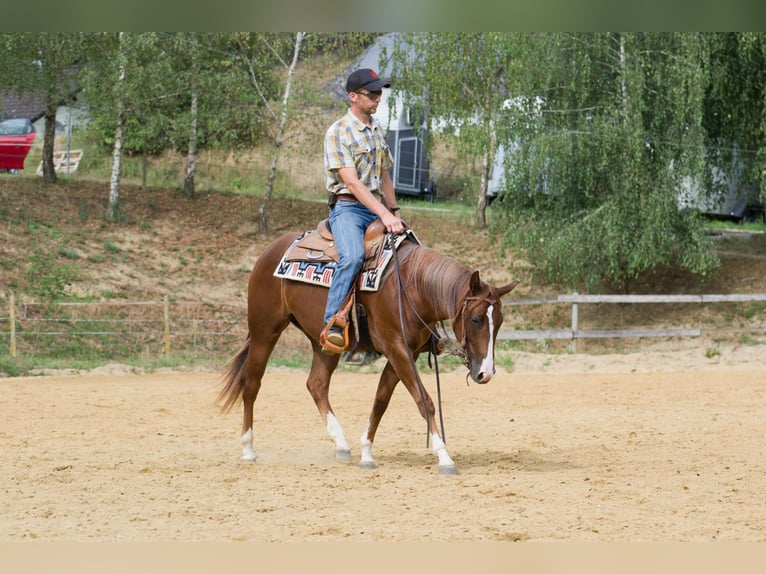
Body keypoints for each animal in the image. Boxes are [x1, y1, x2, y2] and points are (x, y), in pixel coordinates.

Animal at [216, 230, 520, 476]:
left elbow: (380, 401)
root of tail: (270, 250)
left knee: (316, 384)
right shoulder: (398, 350)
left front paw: (366, 453)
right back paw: (248, 449)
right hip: (265, 330)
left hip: (324, 343)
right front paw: (444, 457)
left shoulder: (404, 354)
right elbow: (424, 401)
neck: (412, 286)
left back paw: (341, 444)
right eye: (476, 319)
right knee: (251, 383)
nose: (486, 373)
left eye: (499, 321)